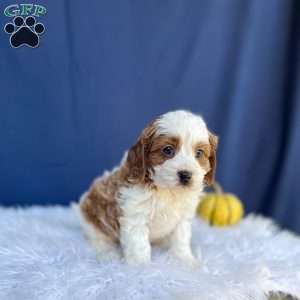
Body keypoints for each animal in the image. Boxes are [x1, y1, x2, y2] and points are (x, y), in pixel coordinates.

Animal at [76, 109, 218, 264]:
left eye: (199, 153)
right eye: (168, 150)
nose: (185, 175)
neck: (167, 190)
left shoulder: (182, 218)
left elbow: (180, 240)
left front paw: (186, 260)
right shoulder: (135, 216)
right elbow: (139, 246)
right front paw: (142, 267)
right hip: (93, 221)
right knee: (100, 240)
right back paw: (109, 254)